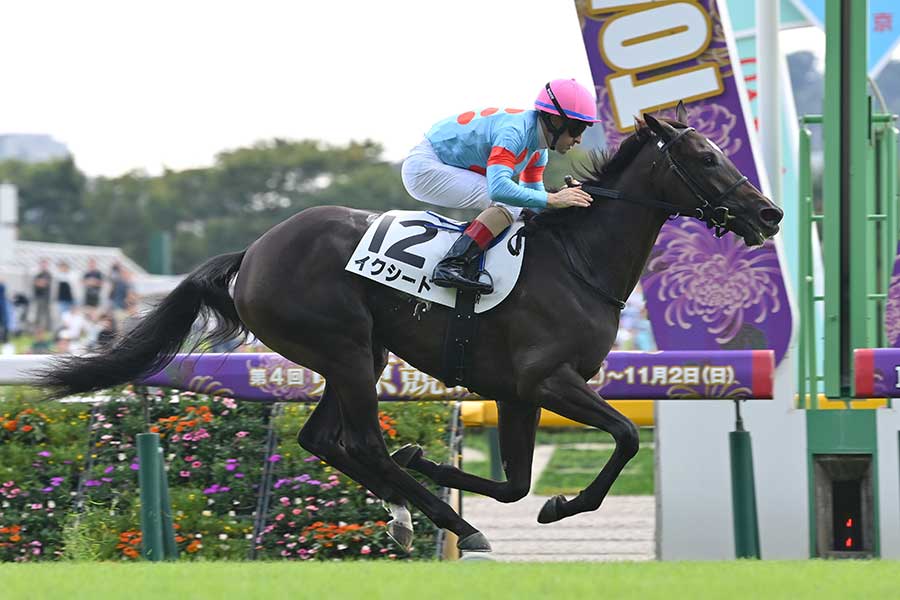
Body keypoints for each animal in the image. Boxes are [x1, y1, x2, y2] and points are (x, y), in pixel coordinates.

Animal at [36, 106, 783, 554]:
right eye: (706, 157)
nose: (770, 214)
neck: (578, 262)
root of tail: (252, 253)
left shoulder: (517, 392)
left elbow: (515, 484)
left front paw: (432, 461)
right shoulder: (549, 379)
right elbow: (625, 435)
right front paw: (555, 505)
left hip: (357, 353)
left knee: (327, 440)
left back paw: (404, 507)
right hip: (342, 348)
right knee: (359, 441)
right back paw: (449, 521)